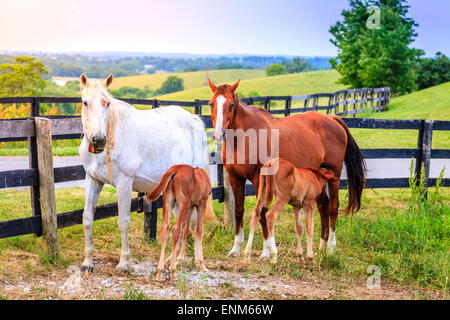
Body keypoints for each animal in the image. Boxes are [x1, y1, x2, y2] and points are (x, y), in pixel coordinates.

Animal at [78, 73, 215, 272]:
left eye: (107, 103)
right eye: (85, 102)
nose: (98, 140)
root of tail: (195, 121)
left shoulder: (124, 183)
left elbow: (123, 222)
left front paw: (124, 264)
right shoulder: (93, 180)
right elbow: (87, 218)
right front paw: (87, 262)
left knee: (195, 224)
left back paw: (193, 262)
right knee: (185, 225)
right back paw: (174, 260)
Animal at [207, 79, 366, 258]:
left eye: (231, 105)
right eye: (211, 104)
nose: (218, 133)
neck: (245, 137)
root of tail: (332, 119)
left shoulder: (259, 179)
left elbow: (262, 211)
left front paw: (266, 252)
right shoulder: (235, 178)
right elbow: (239, 210)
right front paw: (235, 249)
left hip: (335, 175)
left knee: (333, 207)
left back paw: (331, 248)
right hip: (320, 175)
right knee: (323, 206)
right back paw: (321, 247)